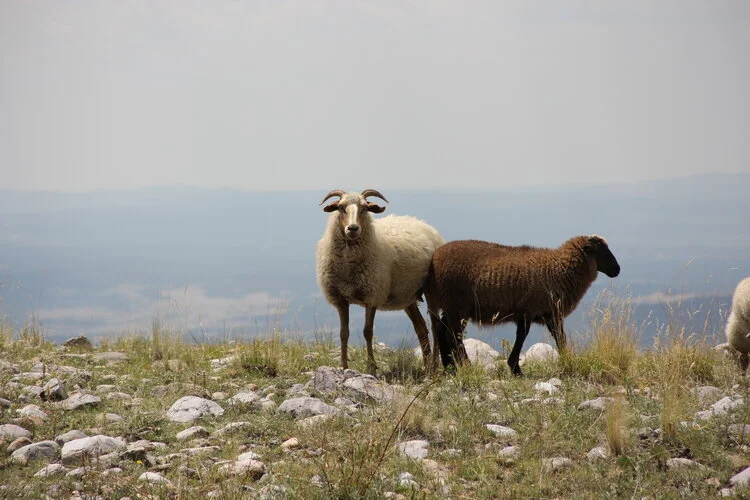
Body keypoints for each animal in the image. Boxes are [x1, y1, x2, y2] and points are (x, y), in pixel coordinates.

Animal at [316, 189, 445, 373]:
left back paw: (434, 366)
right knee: (421, 327)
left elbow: (367, 332)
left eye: (365, 208)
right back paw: (427, 366)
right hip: (408, 296)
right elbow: (343, 332)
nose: (353, 228)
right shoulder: (340, 299)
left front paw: (371, 367)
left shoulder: (372, 296)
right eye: (340, 207)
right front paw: (343, 365)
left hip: (432, 290)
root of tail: (424, 224)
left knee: (435, 326)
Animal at [425, 235, 621, 376]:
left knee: (443, 330)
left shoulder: (549, 314)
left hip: (452, 306)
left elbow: (559, 337)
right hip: (458, 305)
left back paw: (450, 367)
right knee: (453, 335)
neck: (558, 270)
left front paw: (567, 360)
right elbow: (522, 336)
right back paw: (465, 365)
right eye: (602, 251)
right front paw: (515, 369)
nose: (617, 270)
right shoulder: (528, 310)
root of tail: (435, 259)